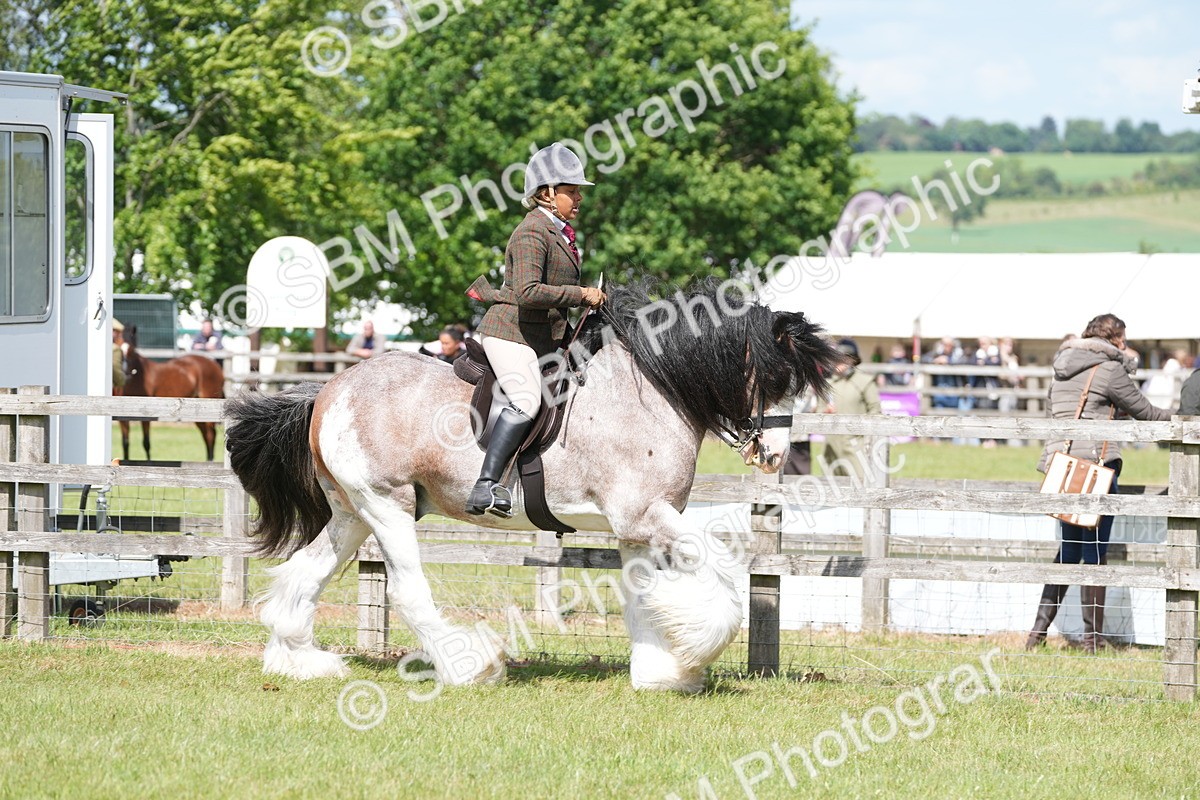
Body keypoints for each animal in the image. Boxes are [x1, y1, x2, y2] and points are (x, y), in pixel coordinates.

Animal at [120, 325, 226, 461]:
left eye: (132, 349)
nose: (125, 373)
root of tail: (214, 364)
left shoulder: (145, 417)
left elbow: (146, 443)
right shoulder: (122, 419)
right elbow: (125, 443)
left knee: (211, 433)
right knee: (206, 435)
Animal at [223, 282, 842, 692]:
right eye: (777, 378)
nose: (775, 455)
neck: (649, 389)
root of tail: (330, 390)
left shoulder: (635, 529)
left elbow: (640, 599)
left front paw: (659, 672)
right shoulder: (646, 514)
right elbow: (721, 582)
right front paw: (693, 649)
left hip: (353, 513)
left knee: (304, 574)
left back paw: (300, 662)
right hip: (387, 505)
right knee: (407, 591)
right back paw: (470, 667)